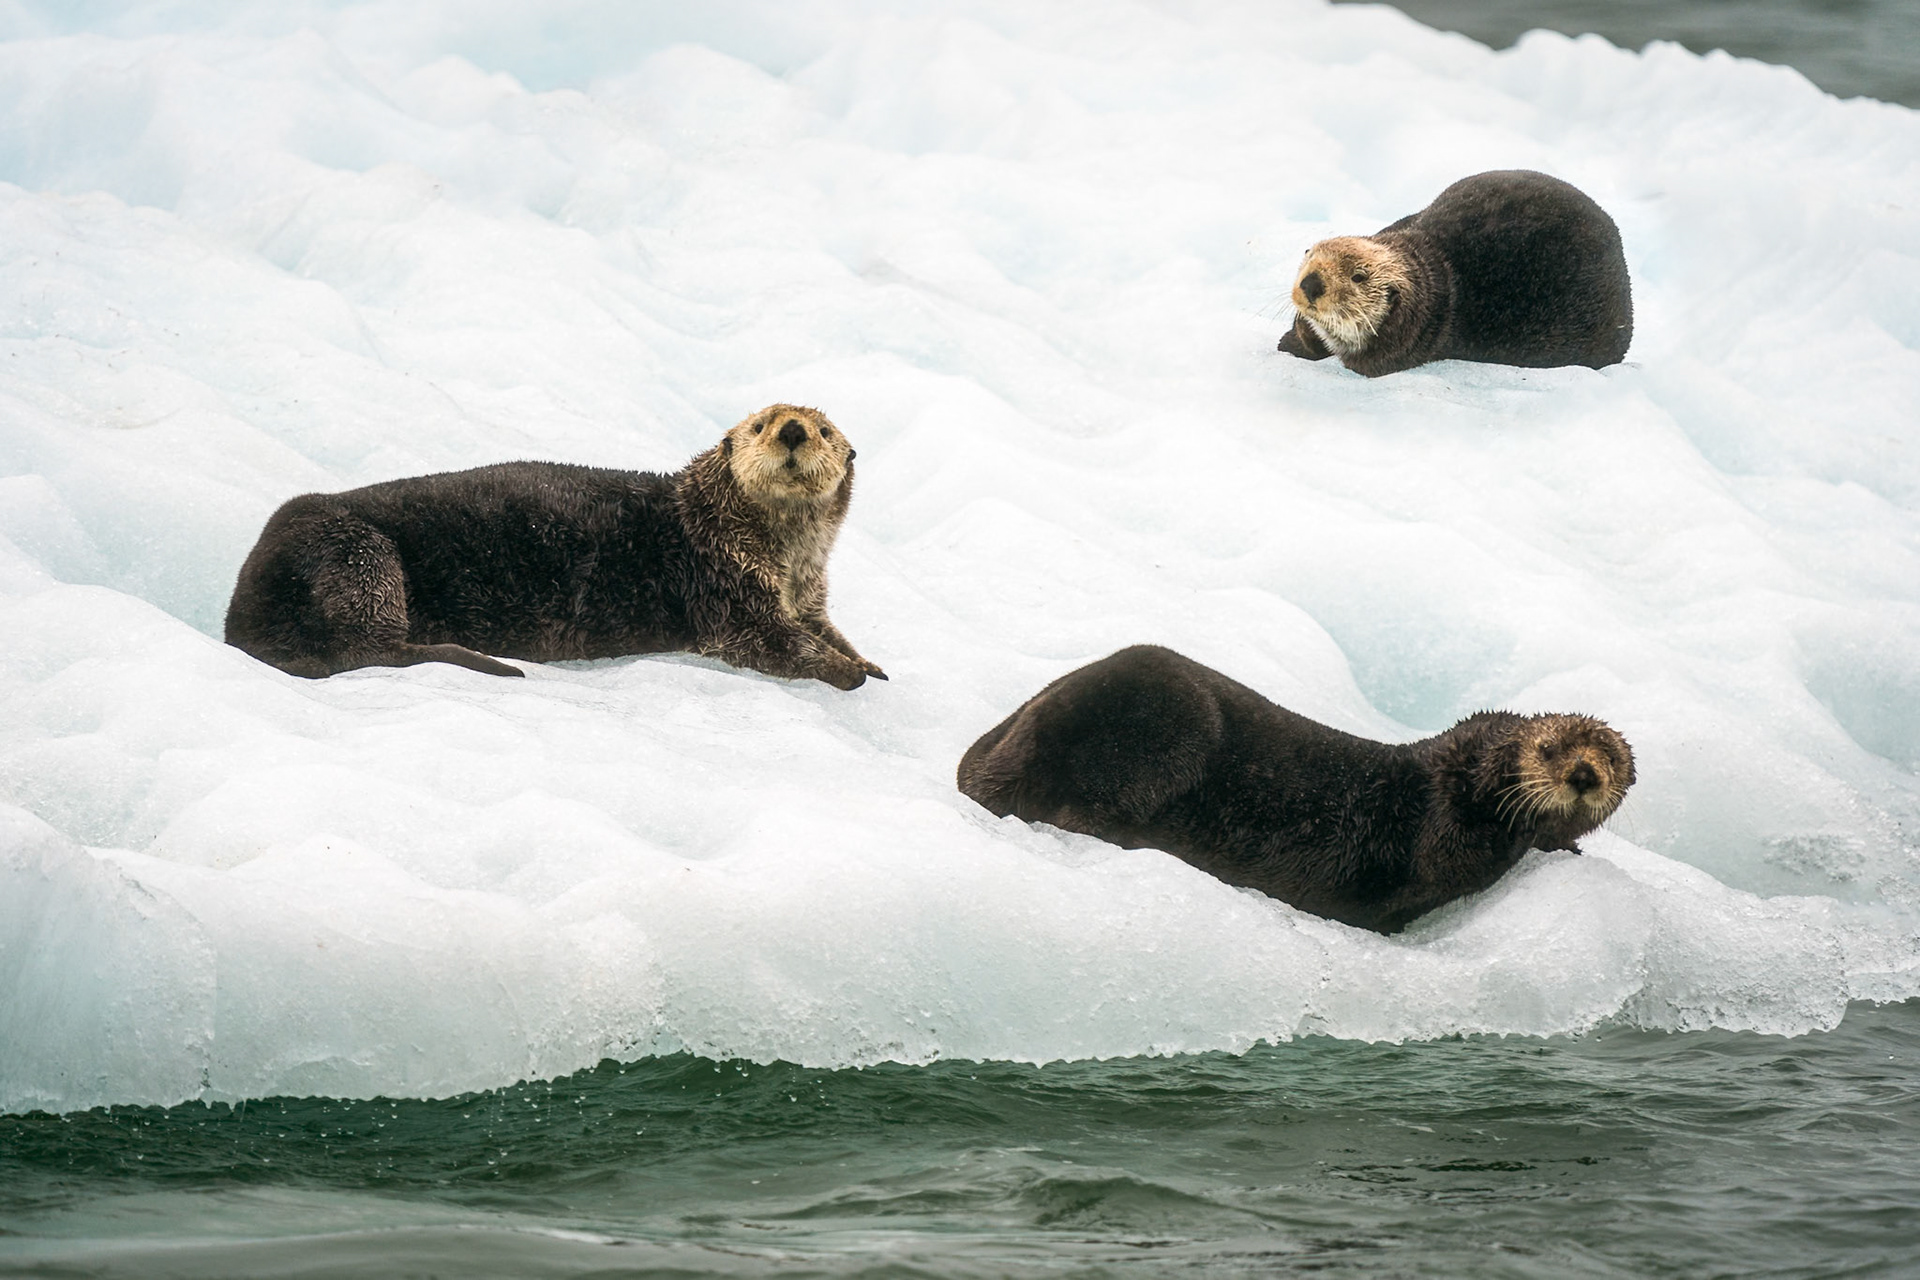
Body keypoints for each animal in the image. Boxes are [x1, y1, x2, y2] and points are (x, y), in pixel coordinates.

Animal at [224, 404, 886, 689]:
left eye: (825, 430)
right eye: (757, 425)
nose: (793, 430)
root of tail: (239, 619)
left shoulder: (806, 593)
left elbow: (818, 626)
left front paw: (868, 660)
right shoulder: (725, 587)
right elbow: (774, 642)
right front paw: (848, 671)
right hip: (352, 548)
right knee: (365, 648)